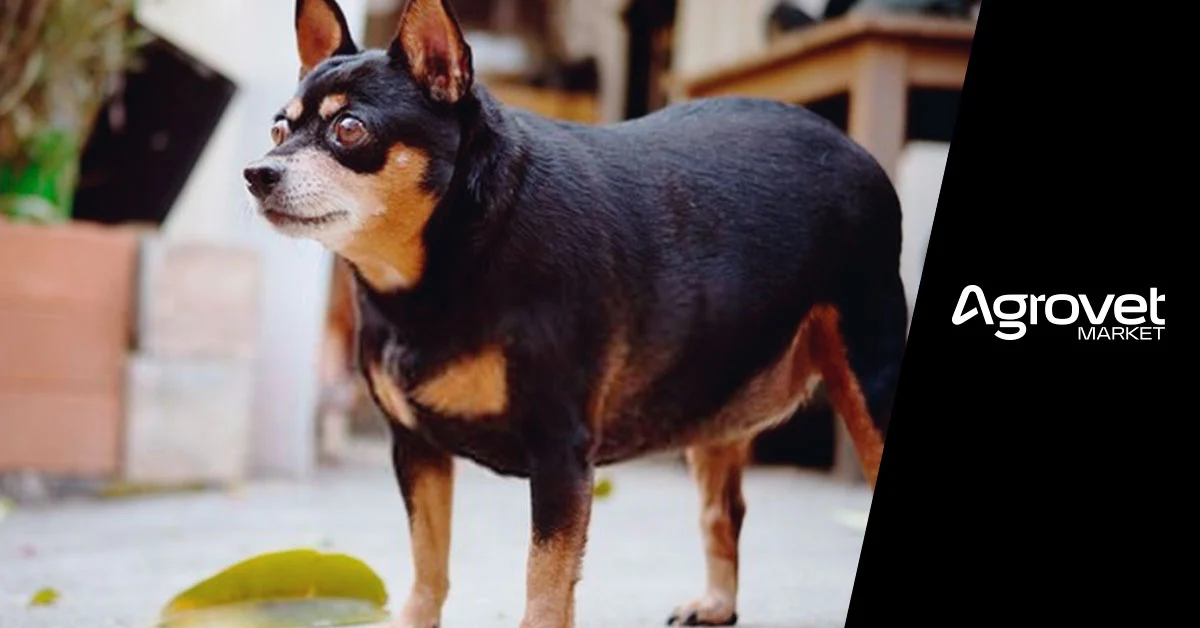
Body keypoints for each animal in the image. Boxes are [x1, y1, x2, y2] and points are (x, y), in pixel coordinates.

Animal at [246, 2, 907, 624]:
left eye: (349, 129)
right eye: (278, 129)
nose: (257, 173)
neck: (459, 251)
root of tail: (849, 145)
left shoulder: (559, 452)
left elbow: (546, 577)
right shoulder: (417, 448)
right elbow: (428, 561)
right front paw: (415, 620)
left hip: (868, 378)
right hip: (713, 404)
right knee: (723, 511)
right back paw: (717, 603)